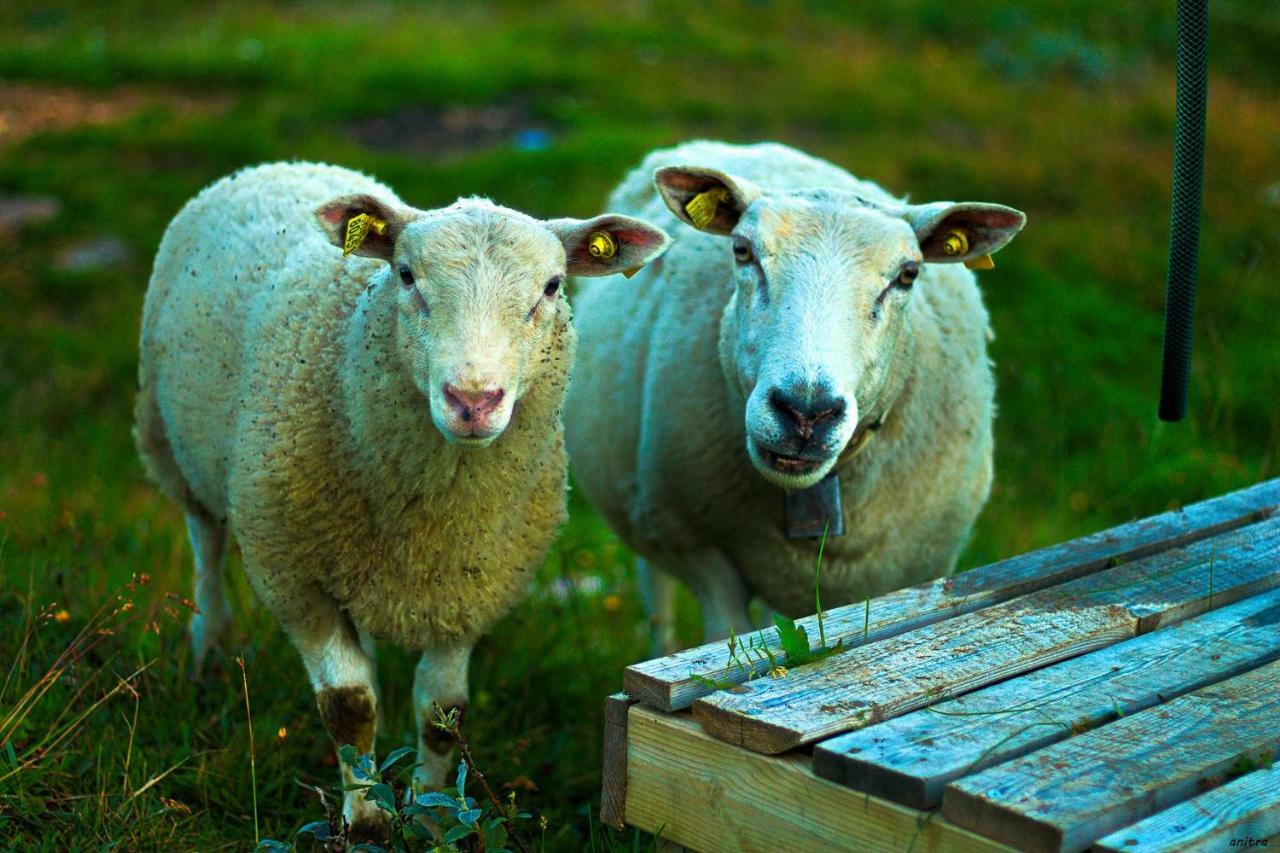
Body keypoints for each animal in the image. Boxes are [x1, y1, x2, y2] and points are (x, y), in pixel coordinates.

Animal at [133, 159, 670, 835]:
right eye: (407, 275)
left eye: (552, 286)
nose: (473, 401)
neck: (428, 517)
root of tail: (275, 165)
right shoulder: (295, 576)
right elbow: (349, 705)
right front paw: (365, 819)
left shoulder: (468, 587)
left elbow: (443, 711)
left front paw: (433, 814)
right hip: (168, 443)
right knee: (205, 550)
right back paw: (207, 651)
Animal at [565, 139, 1024, 648]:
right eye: (742, 250)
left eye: (908, 274)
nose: (806, 412)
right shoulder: (695, 544)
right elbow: (724, 639)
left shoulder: (917, 567)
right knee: (657, 602)